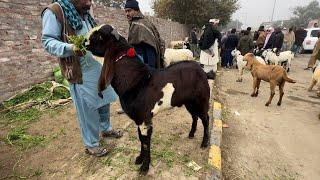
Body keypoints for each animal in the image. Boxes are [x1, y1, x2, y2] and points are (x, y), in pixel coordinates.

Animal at [86, 24, 214, 175]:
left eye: (99, 35)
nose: (85, 41)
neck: (137, 80)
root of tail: (203, 71)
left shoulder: (145, 119)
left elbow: (146, 142)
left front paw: (144, 168)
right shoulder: (138, 119)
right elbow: (141, 139)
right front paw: (139, 159)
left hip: (201, 100)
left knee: (205, 119)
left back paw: (204, 143)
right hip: (189, 102)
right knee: (194, 116)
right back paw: (191, 134)